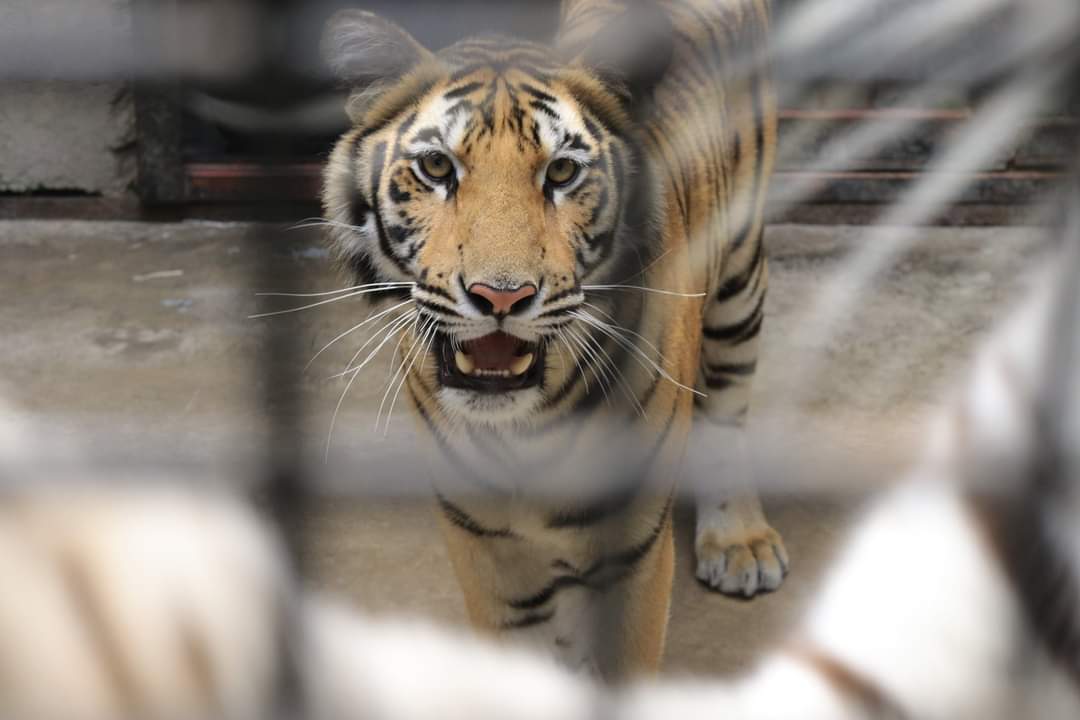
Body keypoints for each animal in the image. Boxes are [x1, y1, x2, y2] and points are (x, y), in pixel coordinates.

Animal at [319, 0, 783, 677]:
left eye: (562, 171)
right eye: (437, 167)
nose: (501, 297)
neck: (523, 435)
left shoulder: (633, 550)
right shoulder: (485, 546)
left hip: (741, 272)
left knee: (728, 400)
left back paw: (740, 542)